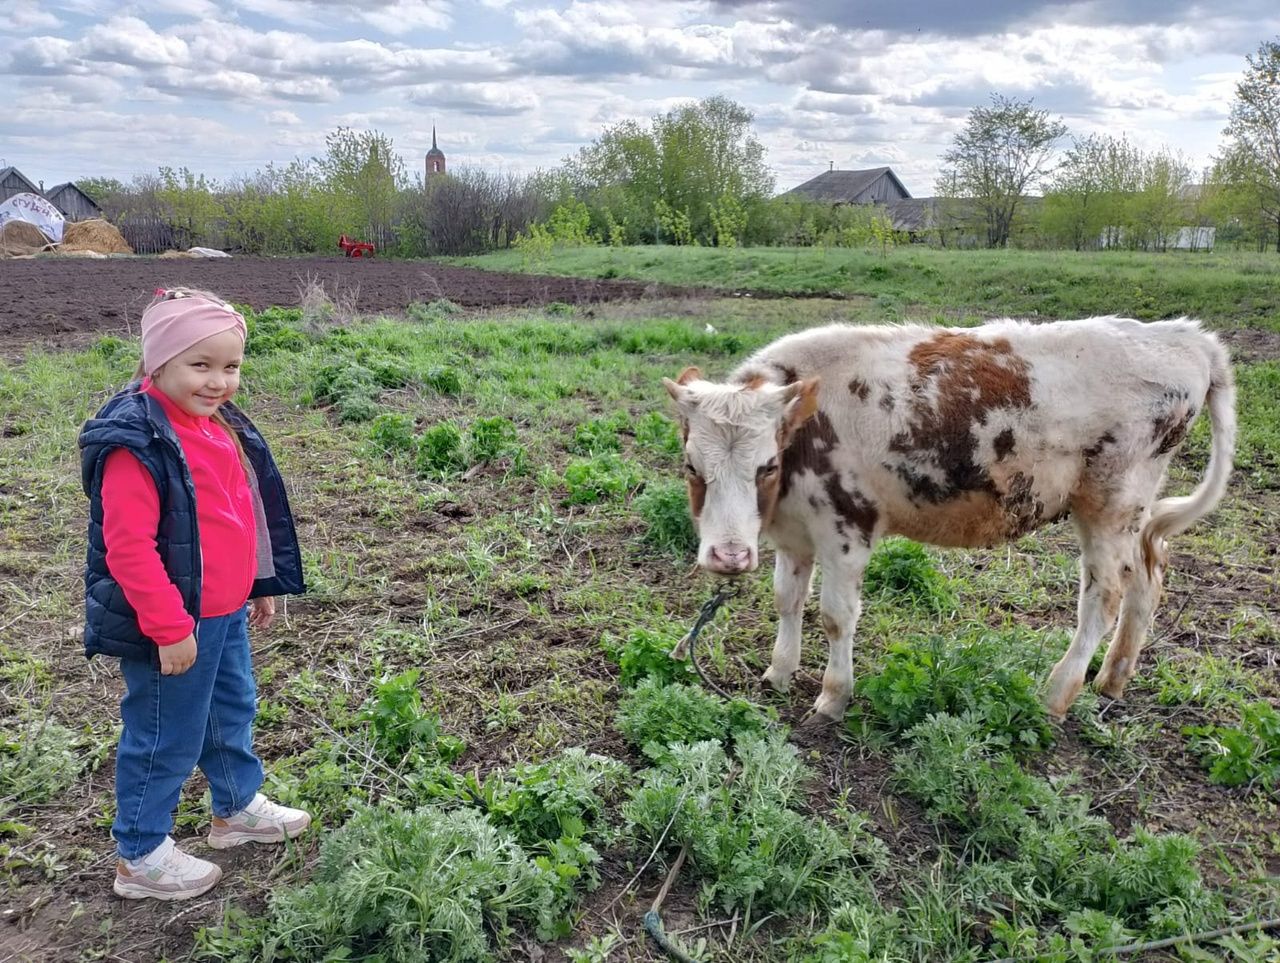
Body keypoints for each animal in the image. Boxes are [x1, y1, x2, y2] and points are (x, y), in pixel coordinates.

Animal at [665, 317, 1233, 722]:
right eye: (691, 466)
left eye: (766, 465)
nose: (729, 556)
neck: (807, 429)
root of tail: (1183, 334)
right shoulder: (795, 534)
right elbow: (788, 601)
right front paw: (778, 673)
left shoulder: (847, 530)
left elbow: (835, 616)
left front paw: (833, 697)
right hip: (1133, 513)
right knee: (1147, 576)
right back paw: (1112, 679)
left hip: (1109, 507)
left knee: (1104, 595)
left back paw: (1057, 693)